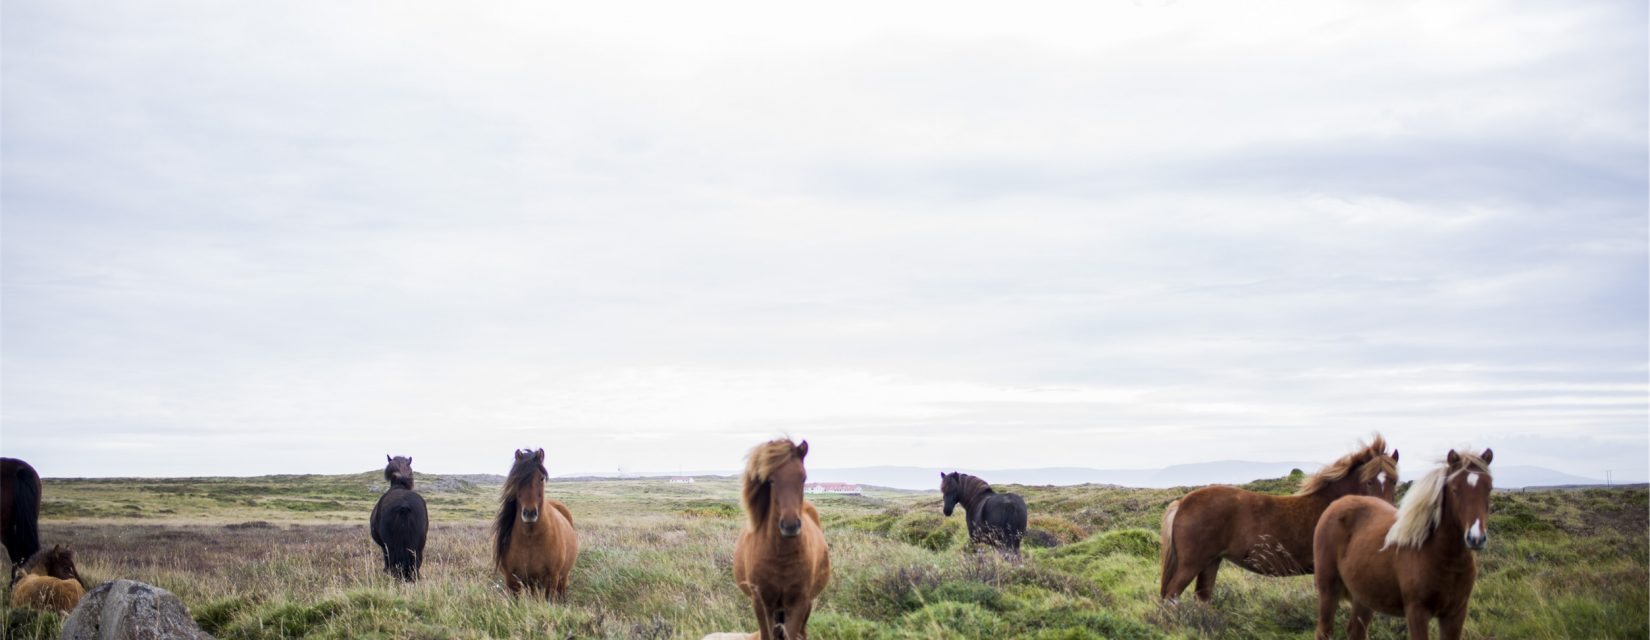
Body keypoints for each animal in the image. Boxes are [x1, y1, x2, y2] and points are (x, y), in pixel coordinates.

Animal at [488, 448, 580, 600]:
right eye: (517, 479)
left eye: (541, 478)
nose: (529, 513)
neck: (530, 539)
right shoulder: (512, 581)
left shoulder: (552, 579)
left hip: (562, 577)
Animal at [735, 438, 831, 640]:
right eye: (771, 480)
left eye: (803, 478)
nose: (790, 525)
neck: (781, 556)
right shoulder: (761, 603)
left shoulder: (799, 604)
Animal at [1155, 432, 1399, 603]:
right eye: (1369, 481)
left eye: (1394, 480)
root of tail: (1182, 503)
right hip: (1191, 563)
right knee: (1171, 596)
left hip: (1211, 562)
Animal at [1313, 448, 1498, 640]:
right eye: (1455, 489)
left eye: (1489, 488)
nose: (1475, 538)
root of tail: (1336, 504)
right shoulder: (1417, 613)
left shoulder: (1455, 614)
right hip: (1328, 589)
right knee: (1324, 630)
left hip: (1363, 596)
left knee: (1356, 631)